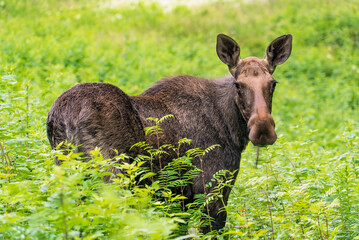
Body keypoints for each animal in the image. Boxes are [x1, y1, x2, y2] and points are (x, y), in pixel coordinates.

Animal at [47, 33, 292, 232]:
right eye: (238, 85)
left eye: (273, 83)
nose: (263, 129)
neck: (232, 128)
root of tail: (64, 118)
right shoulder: (212, 189)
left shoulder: (177, 198)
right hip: (111, 176)